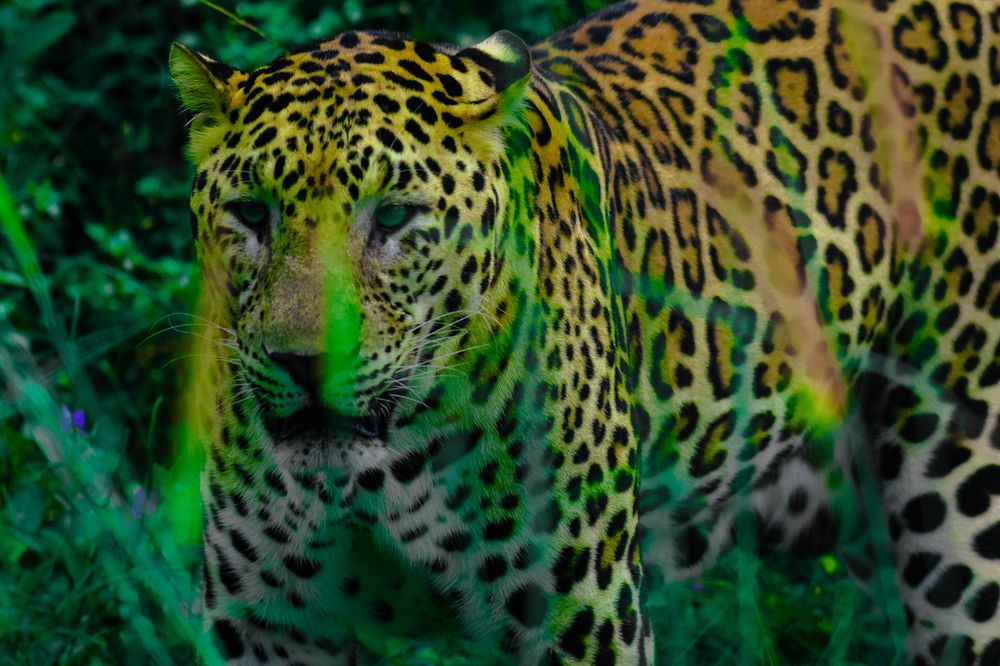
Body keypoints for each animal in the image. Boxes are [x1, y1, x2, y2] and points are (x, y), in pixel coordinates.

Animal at [170, 0, 1000, 663]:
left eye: (395, 217)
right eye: (251, 213)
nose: (304, 362)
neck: (378, 472)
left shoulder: (585, 617)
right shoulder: (269, 628)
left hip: (960, 512)